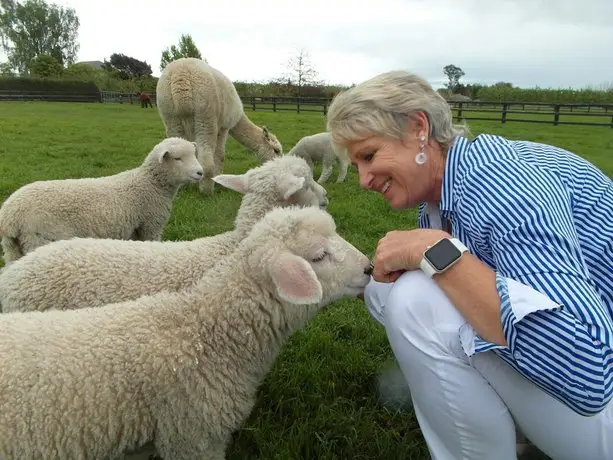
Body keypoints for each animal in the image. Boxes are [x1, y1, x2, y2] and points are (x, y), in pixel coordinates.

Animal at [0, 137, 203, 264]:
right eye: (177, 158)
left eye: (194, 155)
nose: (200, 172)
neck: (150, 184)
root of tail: (10, 217)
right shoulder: (150, 225)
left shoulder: (135, 229)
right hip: (40, 239)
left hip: (12, 247)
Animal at [157, 56, 284, 195]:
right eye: (276, 150)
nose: (279, 169)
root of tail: (180, 75)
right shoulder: (224, 126)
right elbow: (220, 154)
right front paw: (217, 180)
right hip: (206, 113)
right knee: (207, 161)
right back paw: (207, 191)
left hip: (170, 115)